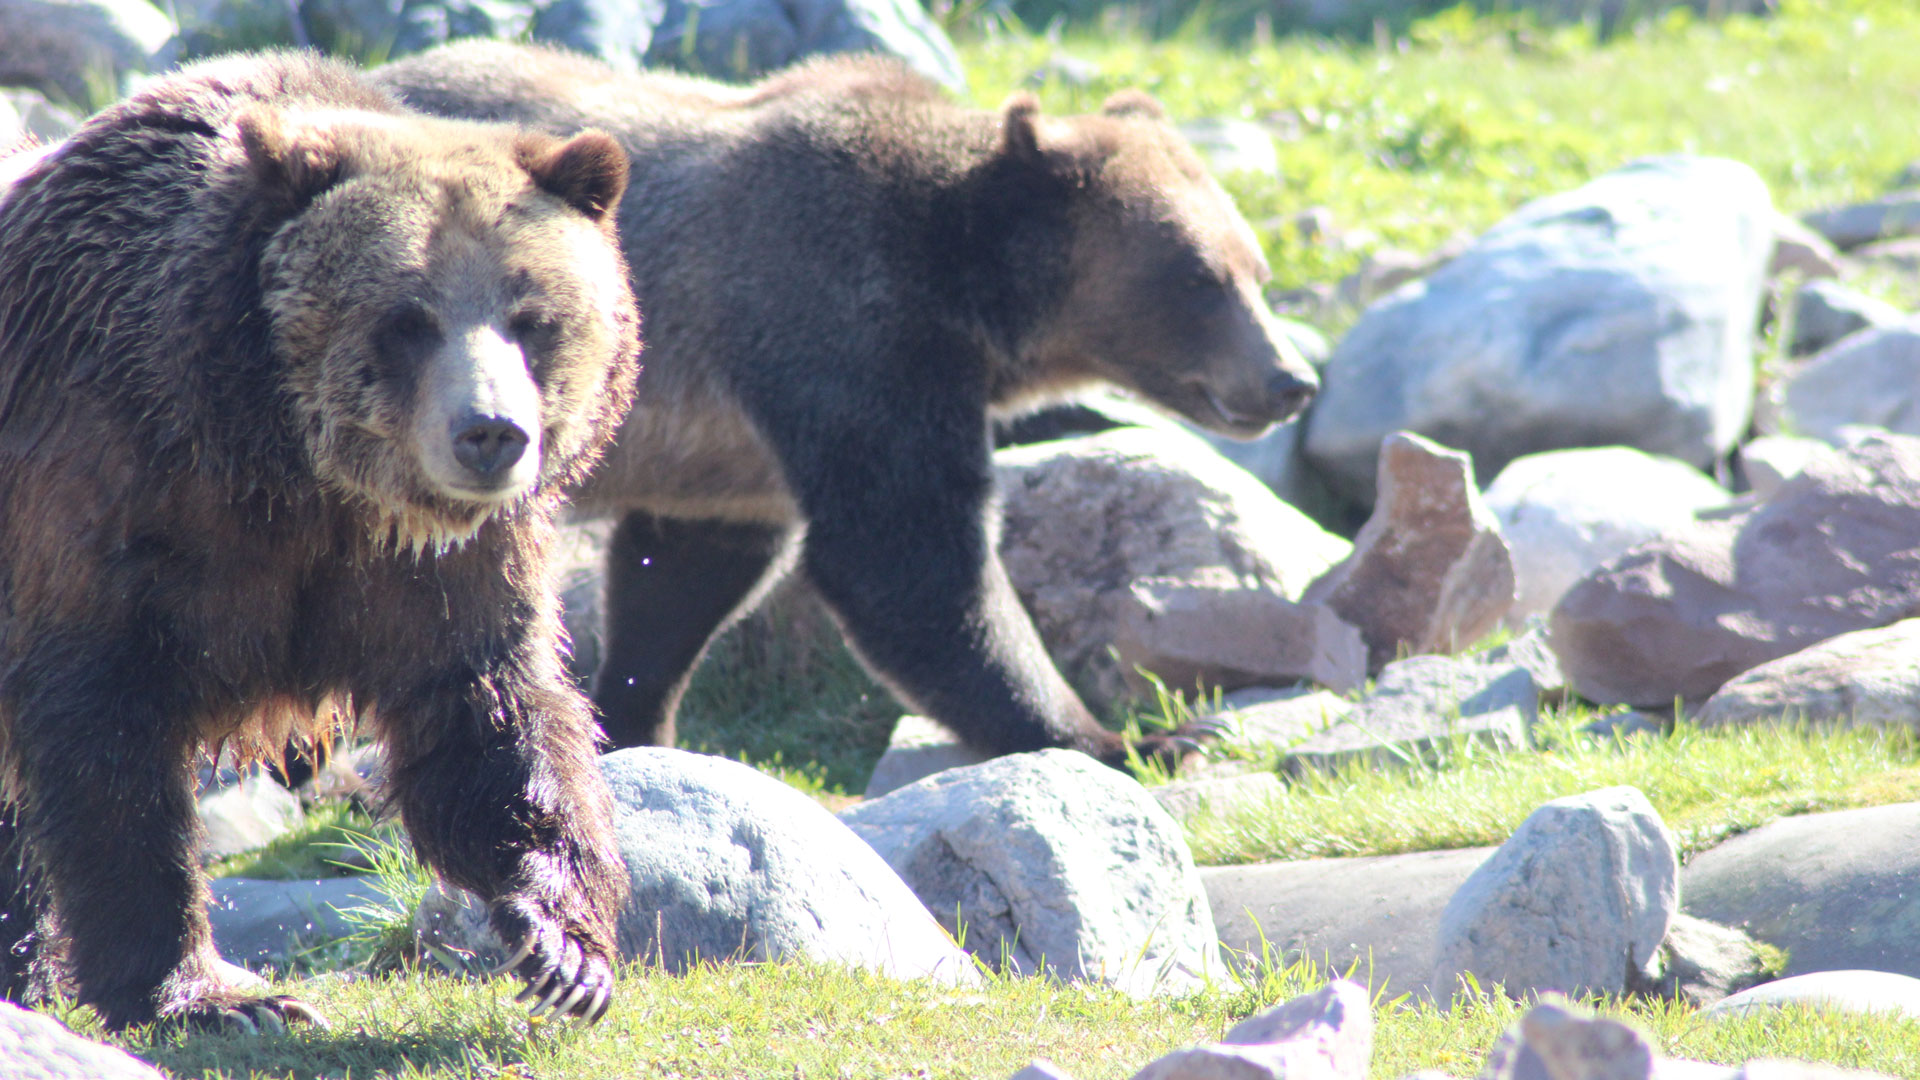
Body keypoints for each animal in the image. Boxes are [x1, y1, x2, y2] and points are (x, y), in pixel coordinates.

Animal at [0, 52, 641, 1031]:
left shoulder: (428, 565)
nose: (490, 433)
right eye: (409, 318)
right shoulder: (102, 491)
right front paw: (216, 994)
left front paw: (564, 946)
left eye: (533, 316)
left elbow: (488, 711)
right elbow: (106, 744)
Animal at [374, 42, 1318, 767]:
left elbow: (680, 577)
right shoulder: (844, 329)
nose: (1290, 379)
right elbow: (907, 554)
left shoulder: (727, 455)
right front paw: (1128, 736)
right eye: (1200, 277)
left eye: (1256, 269)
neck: (962, 288)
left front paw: (637, 728)